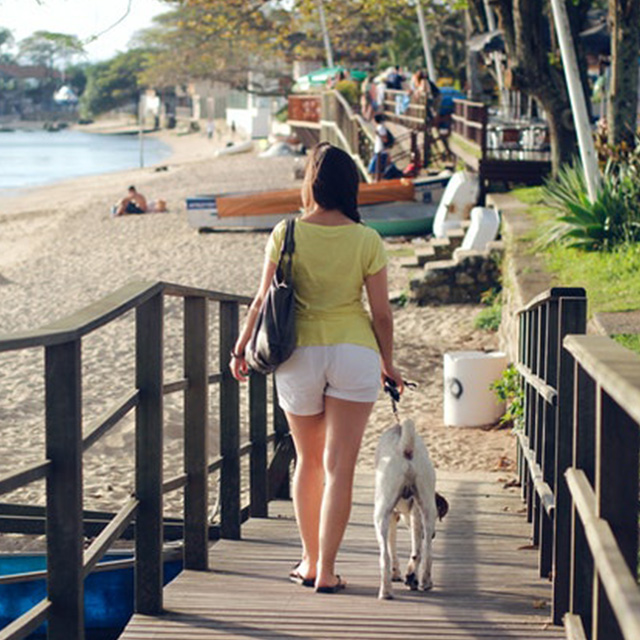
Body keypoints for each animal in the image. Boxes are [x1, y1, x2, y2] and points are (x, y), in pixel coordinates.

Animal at [372, 420, 448, 600]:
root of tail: (406, 448)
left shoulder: (392, 516)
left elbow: (392, 548)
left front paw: (396, 573)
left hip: (380, 514)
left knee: (385, 556)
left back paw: (386, 591)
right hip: (427, 507)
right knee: (425, 551)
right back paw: (423, 581)